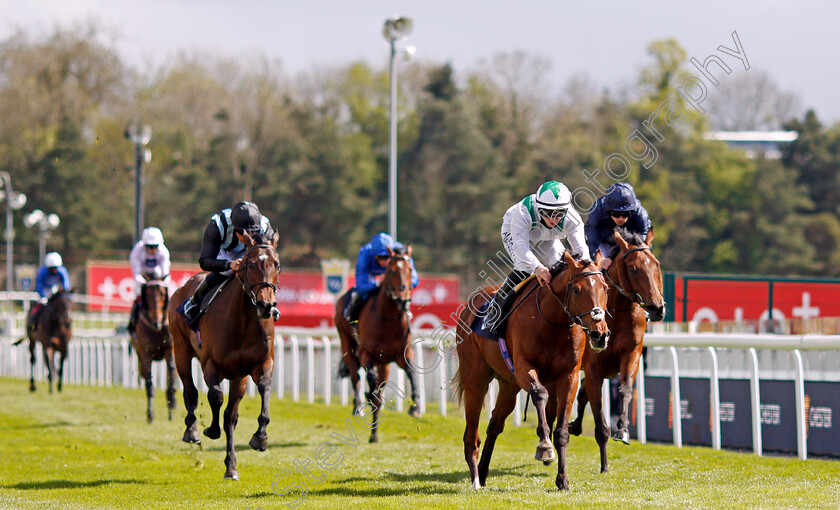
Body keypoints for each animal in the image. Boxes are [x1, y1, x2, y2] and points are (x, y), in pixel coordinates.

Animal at [131, 276, 176, 424]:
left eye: (162, 294)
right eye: (148, 294)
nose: (156, 320)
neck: (156, 329)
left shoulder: (170, 351)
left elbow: (171, 378)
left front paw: (171, 406)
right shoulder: (146, 356)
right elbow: (150, 386)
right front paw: (150, 414)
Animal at [168, 231, 282, 478]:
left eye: (277, 264)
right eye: (250, 264)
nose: (265, 305)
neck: (243, 319)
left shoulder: (261, 363)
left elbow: (264, 389)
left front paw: (260, 438)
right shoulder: (211, 364)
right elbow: (215, 396)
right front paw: (211, 429)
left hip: (238, 377)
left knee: (231, 416)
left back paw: (231, 467)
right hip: (180, 349)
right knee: (190, 391)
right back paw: (192, 430)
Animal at [334, 244, 424, 442]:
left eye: (410, 269)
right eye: (391, 270)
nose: (402, 298)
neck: (388, 320)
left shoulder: (404, 355)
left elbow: (412, 373)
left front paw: (415, 407)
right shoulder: (365, 354)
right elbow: (371, 379)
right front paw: (368, 395)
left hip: (384, 364)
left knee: (379, 393)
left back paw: (374, 435)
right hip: (347, 345)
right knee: (356, 376)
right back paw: (358, 407)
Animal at [452, 251, 612, 490]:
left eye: (605, 288)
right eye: (576, 290)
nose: (599, 334)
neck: (552, 322)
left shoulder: (569, 376)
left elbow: (562, 431)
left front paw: (562, 479)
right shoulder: (523, 368)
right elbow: (540, 393)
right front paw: (544, 446)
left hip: (508, 386)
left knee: (495, 424)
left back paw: (483, 470)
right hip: (475, 380)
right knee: (471, 434)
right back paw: (475, 480)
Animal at [568, 229, 668, 472]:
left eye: (656, 264)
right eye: (633, 268)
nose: (657, 308)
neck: (617, 310)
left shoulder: (631, 354)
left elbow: (625, 390)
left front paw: (622, 430)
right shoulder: (593, 367)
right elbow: (597, 407)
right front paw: (604, 464)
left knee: (583, 391)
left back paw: (575, 426)